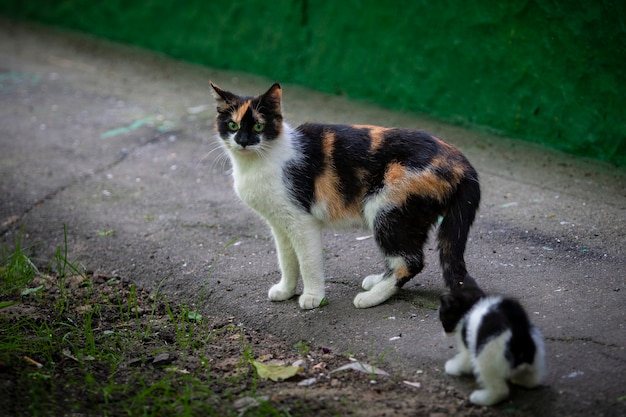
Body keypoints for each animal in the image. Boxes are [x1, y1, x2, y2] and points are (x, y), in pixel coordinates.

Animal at [210, 81, 478, 308]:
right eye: (232, 125)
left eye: (258, 125)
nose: (243, 141)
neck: (257, 163)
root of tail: (463, 163)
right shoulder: (279, 224)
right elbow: (287, 260)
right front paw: (286, 290)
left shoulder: (301, 221)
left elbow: (307, 261)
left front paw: (313, 297)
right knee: (404, 257)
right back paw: (377, 282)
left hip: (386, 207)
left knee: (410, 261)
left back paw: (371, 298)